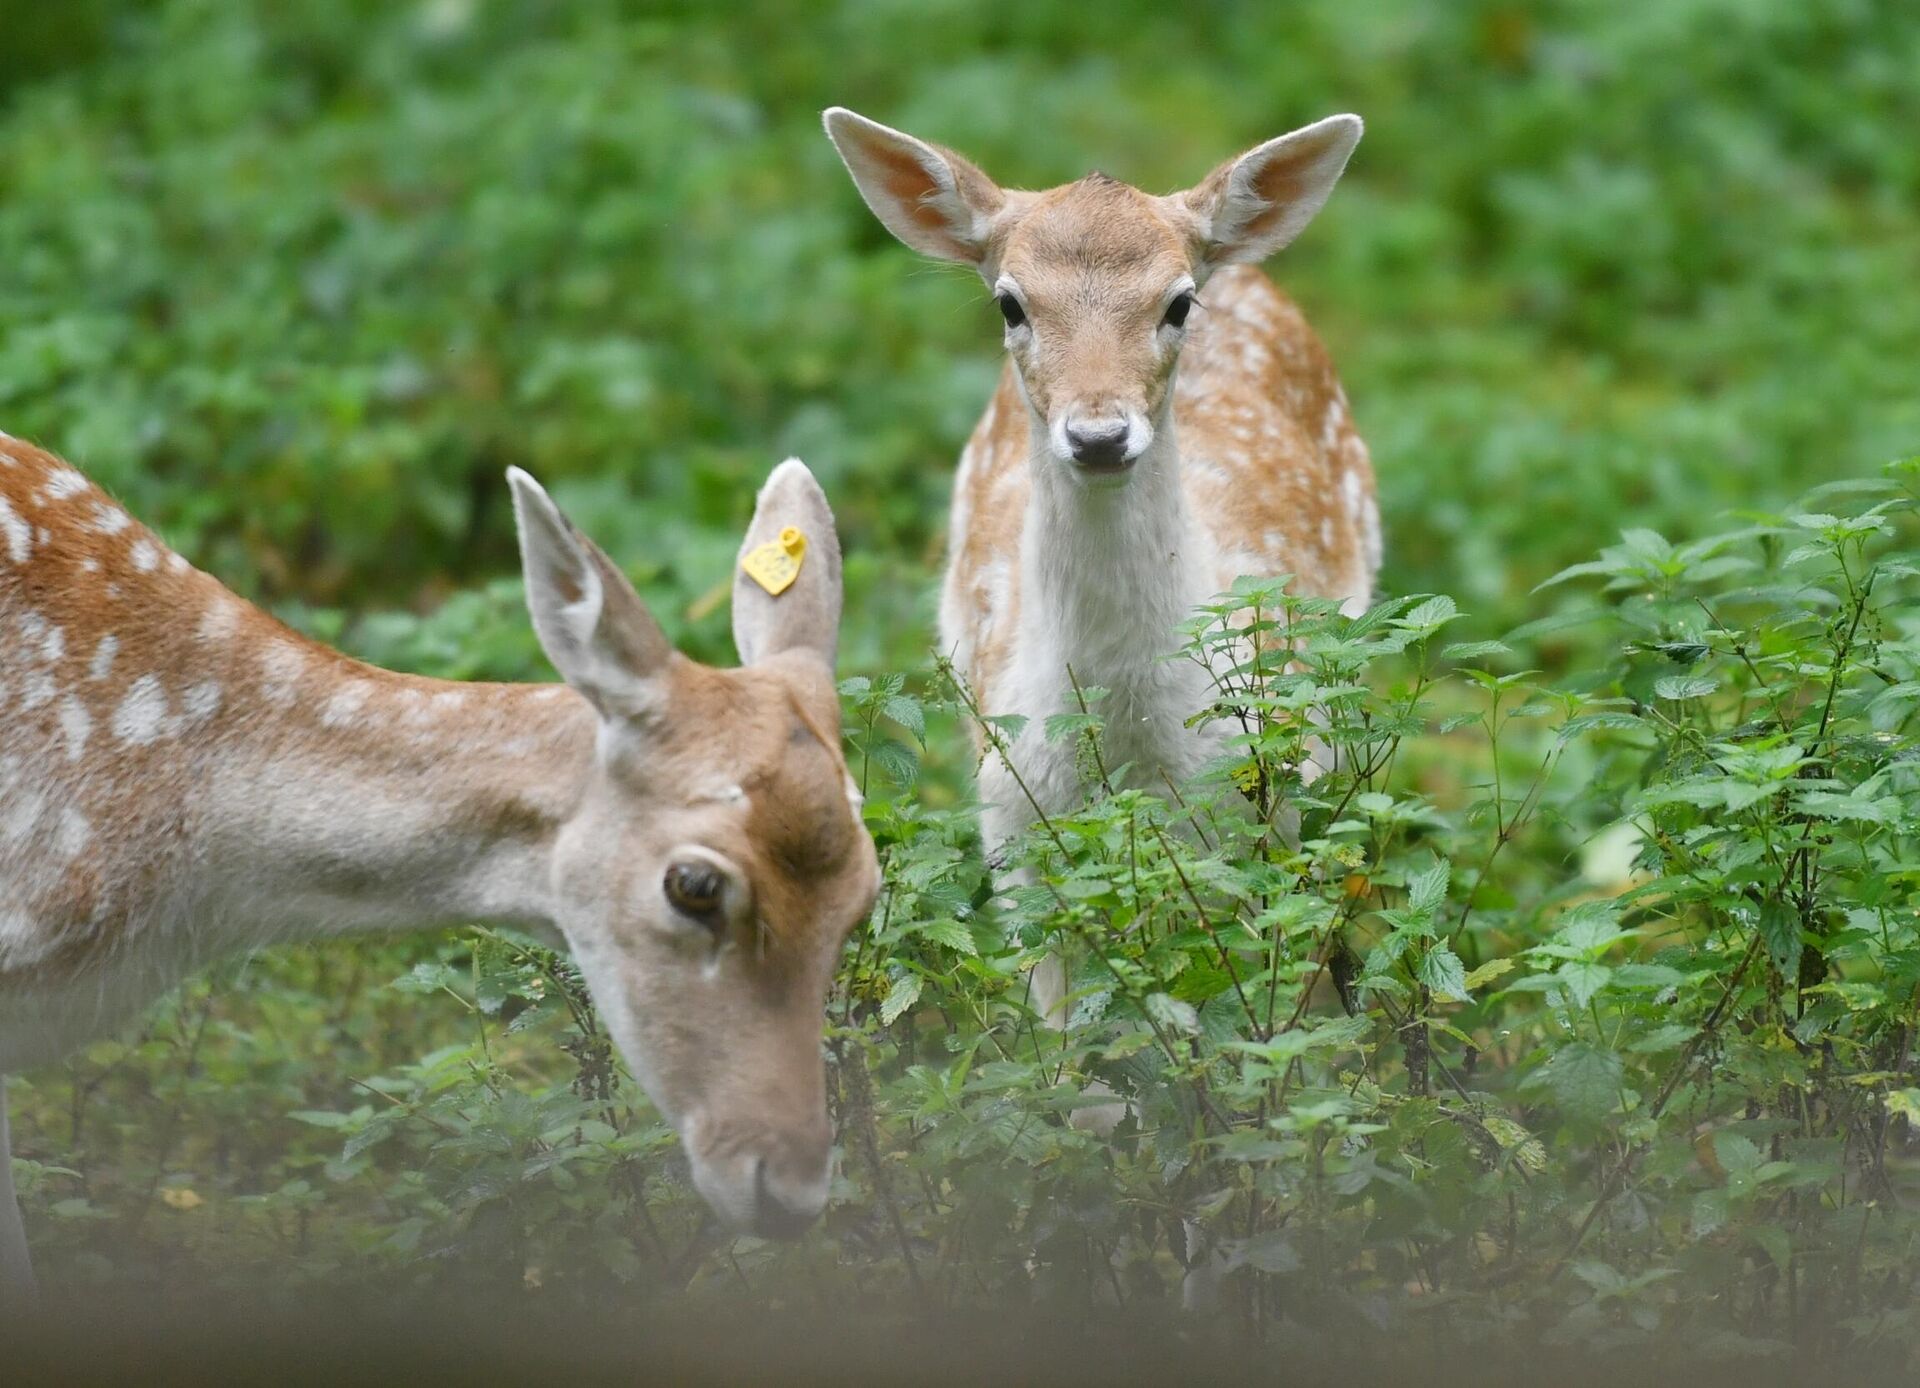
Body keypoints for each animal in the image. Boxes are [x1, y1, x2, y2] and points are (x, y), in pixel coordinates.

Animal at [825, 106, 1382, 1128]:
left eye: (1177, 303)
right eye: (1010, 303)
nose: (1098, 434)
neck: (1131, 748)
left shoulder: (1269, 819)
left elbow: (1247, 1029)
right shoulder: (1014, 824)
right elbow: (1075, 1062)